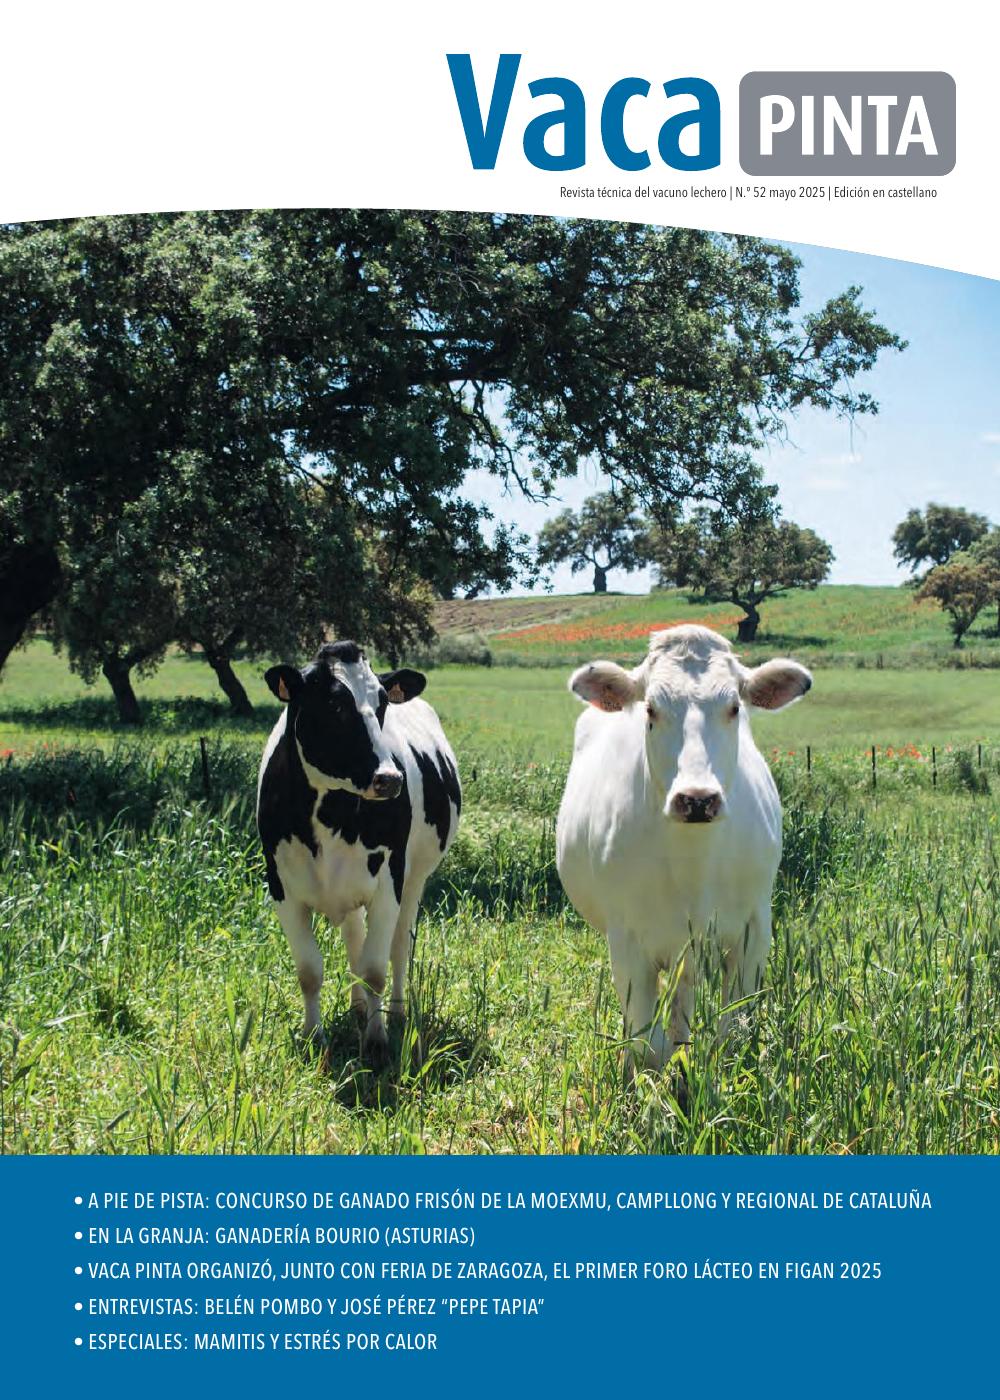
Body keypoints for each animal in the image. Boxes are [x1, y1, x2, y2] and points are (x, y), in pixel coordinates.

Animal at [256, 641, 460, 1064]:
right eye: (334, 704)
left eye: (382, 703)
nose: (389, 779)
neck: (328, 813)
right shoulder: (281, 887)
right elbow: (310, 970)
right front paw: (314, 1036)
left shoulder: (388, 883)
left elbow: (375, 969)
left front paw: (377, 1041)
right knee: (354, 939)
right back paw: (359, 1008)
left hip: (414, 878)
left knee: (398, 946)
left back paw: (394, 1012)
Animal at [556, 625, 812, 1074]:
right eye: (651, 709)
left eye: (734, 707)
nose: (697, 799)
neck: (693, 864)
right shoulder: (627, 941)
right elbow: (647, 1044)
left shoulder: (754, 928)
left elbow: (734, 1032)